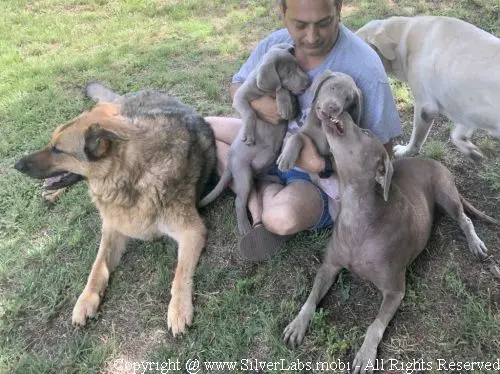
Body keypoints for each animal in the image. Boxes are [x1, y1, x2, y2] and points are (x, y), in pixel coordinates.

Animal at [13, 83, 216, 334]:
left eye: (58, 150)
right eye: (51, 144)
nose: (16, 165)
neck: (131, 174)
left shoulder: (192, 231)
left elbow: (180, 273)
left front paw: (179, 308)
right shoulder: (112, 229)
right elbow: (97, 267)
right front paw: (86, 299)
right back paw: (52, 194)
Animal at [199, 43, 308, 234]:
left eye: (298, 65)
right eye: (288, 71)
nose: (308, 81)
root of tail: (230, 162)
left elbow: (284, 92)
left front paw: (284, 104)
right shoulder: (240, 97)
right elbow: (252, 111)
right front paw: (249, 135)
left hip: (267, 162)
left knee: (260, 177)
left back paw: (274, 179)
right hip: (243, 174)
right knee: (239, 200)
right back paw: (244, 227)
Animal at [282, 111, 496, 374]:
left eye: (365, 132)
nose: (342, 111)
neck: (357, 212)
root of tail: (432, 161)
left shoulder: (395, 290)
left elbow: (375, 325)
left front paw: (365, 354)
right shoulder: (329, 266)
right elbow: (311, 298)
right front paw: (298, 323)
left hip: (447, 195)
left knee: (465, 219)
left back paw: (475, 243)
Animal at [356, 16, 500, 160]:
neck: (405, 36)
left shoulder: (425, 107)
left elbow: (416, 140)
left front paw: (405, 151)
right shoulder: (464, 106)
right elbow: (459, 131)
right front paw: (469, 149)